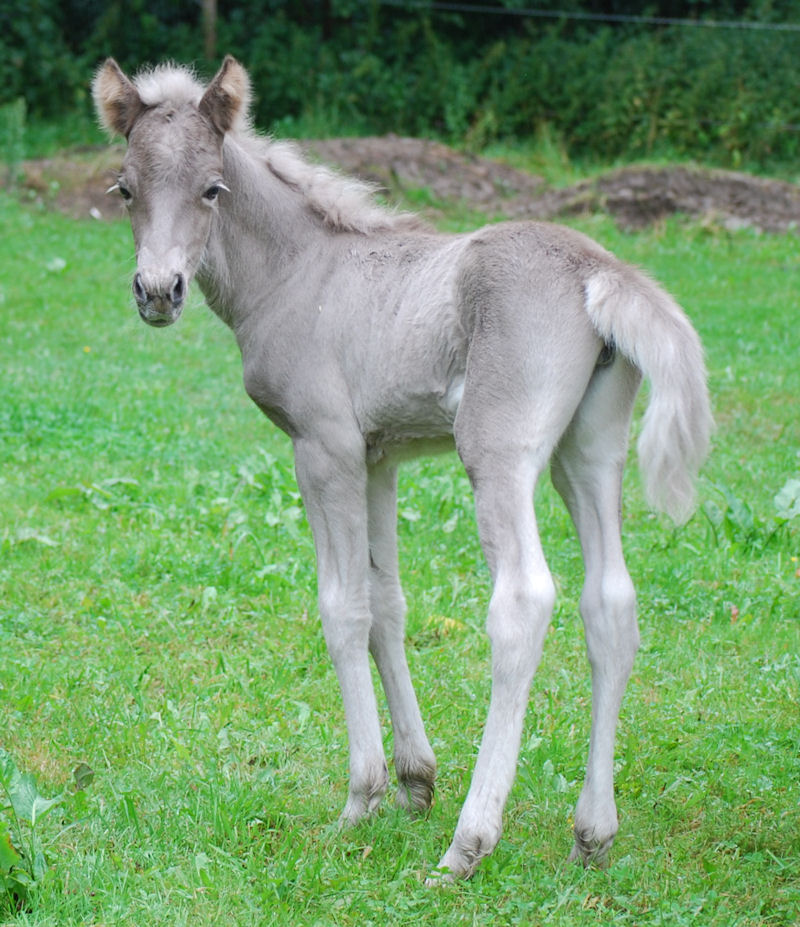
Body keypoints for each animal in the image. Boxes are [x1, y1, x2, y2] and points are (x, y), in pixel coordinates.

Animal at [94, 54, 712, 880]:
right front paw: (417, 779)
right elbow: (389, 603)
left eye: (212, 188)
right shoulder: (378, 457)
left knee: (524, 600)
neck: (303, 274)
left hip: (498, 452)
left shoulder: (322, 447)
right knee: (609, 600)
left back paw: (468, 844)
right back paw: (593, 831)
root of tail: (597, 268)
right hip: (587, 451)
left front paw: (363, 795)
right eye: (125, 189)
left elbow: (344, 607)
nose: (159, 292)